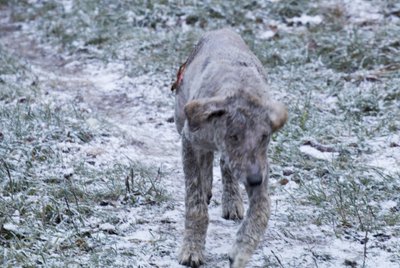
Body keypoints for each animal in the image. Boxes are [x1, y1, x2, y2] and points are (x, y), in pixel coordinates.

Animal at [172, 28, 288, 266]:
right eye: (233, 136)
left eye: (264, 137)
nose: (254, 180)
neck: (240, 88)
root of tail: (221, 30)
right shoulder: (189, 141)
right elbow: (195, 203)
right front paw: (192, 249)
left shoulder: (260, 165)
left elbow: (263, 209)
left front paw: (241, 251)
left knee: (223, 165)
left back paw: (232, 200)